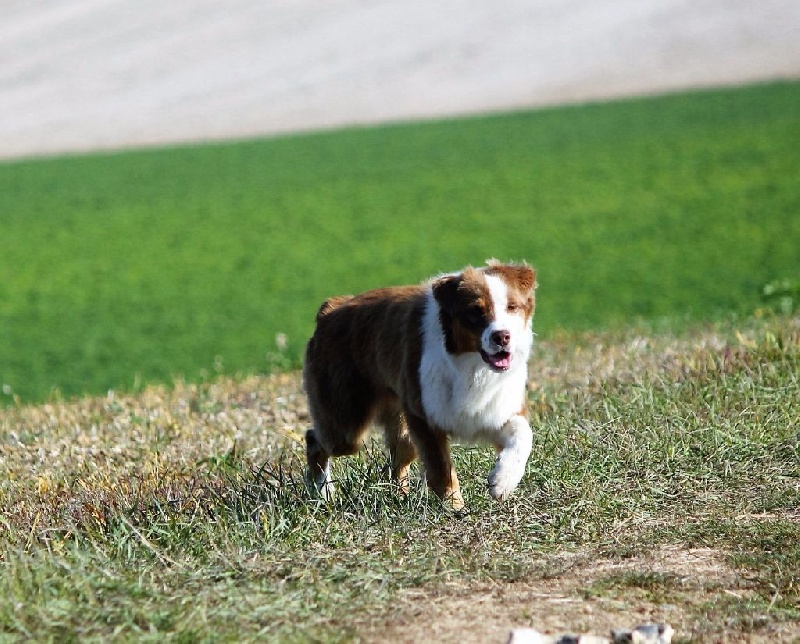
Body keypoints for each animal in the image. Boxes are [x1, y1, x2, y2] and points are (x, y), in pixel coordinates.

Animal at [302, 260, 536, 510]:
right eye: (475, 311)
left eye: (512, 307)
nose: (502, 336)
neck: (471, 366)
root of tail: (331, 307)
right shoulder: (423, 414)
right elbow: (441, 469)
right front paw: (455, 507)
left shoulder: (498, 409)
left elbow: (524, 435)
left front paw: (502, 481)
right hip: (346, 422)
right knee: (315, 438)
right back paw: (322, 492)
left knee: (397, 456)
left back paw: (399, 496)